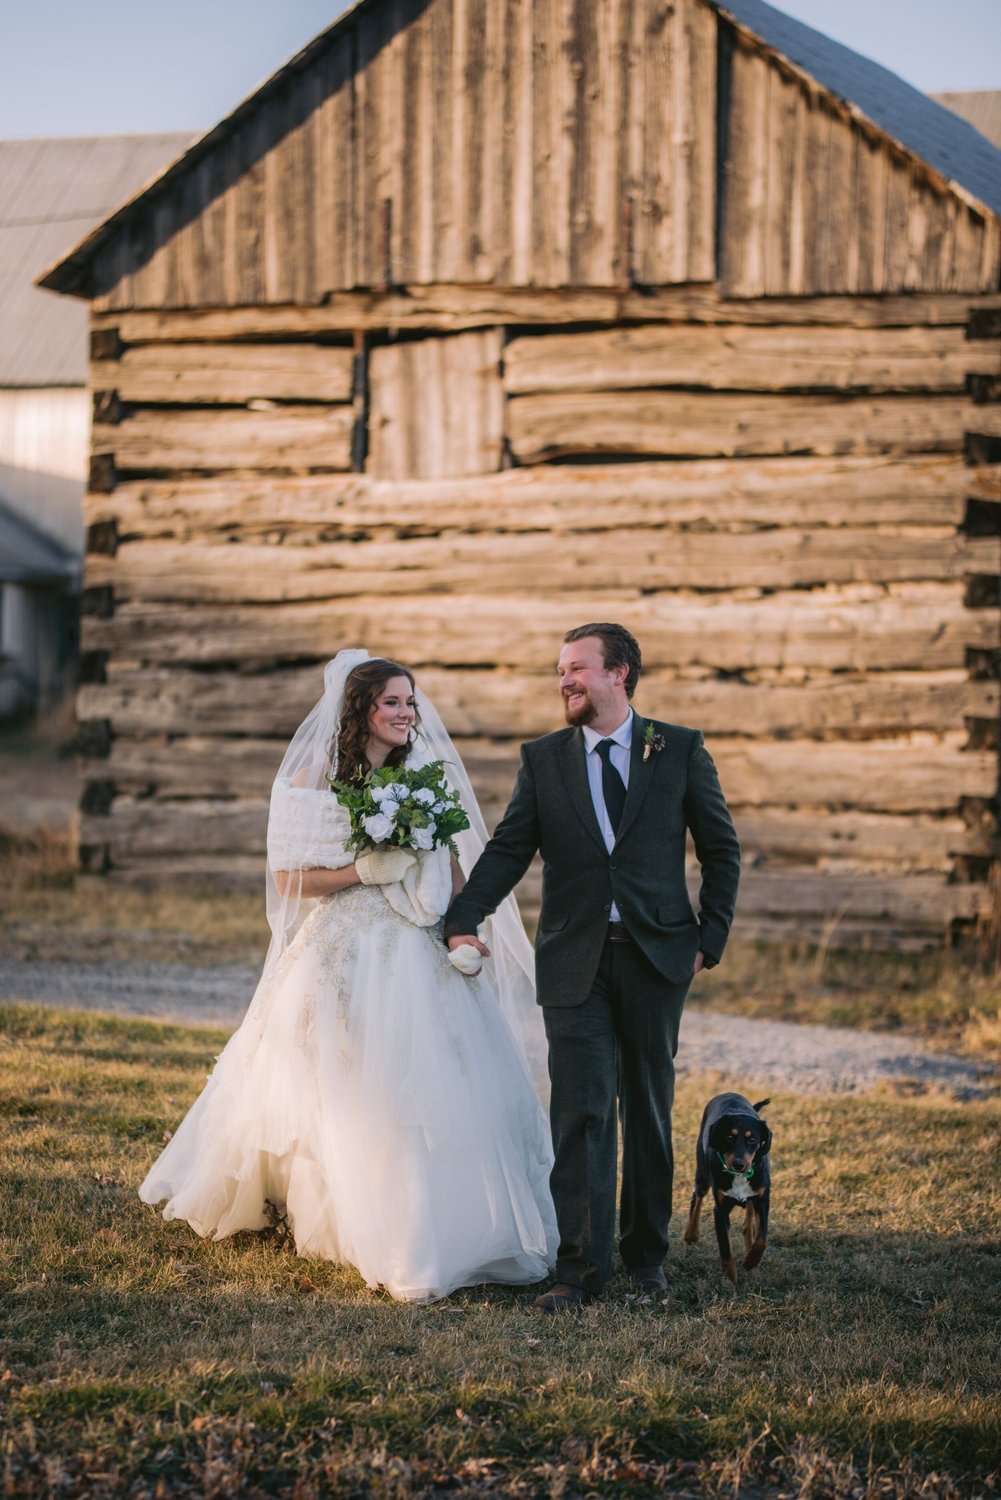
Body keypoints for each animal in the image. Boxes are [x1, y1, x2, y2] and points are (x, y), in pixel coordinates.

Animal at [682, 1093, 772, 1284]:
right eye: (729, 1137)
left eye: (752, 1139)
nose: (738, 1164)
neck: (739, 1177)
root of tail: (728, 1093)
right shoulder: (721, 1210)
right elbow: (725, 1248)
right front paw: (730, 1280)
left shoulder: (762, 1200)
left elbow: (762, 1238)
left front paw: (751, 1261)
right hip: (702, 1174)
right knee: (696, 1197)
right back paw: (691, 1234)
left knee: (749, 1220)